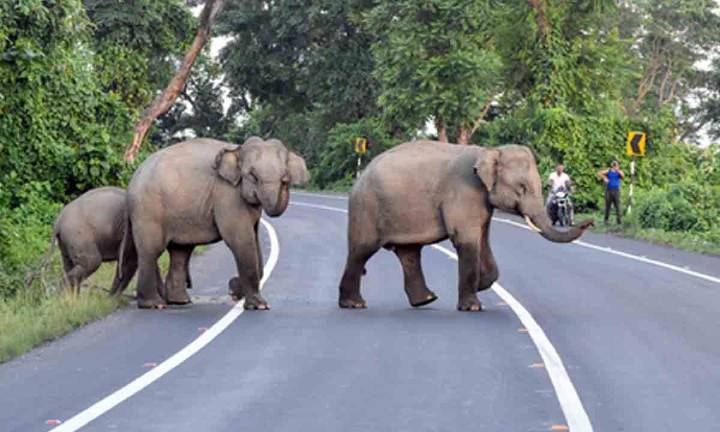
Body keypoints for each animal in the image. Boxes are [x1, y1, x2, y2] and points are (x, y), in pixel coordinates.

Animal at [123, 137, 309, 309]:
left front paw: (238, 290)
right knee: (151, 251)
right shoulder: (227, 195)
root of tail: (133, 179)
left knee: (180, 252)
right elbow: (240, 240)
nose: (286, 180)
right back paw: (154, 304)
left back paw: (180, 301)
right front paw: (258, 305)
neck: (237, 150)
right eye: (253, 176)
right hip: (148, 210)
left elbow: (254, 242)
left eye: (284, 176)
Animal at [338, 140, 593, 311]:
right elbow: (466, 239)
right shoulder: (464, 192)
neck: (489, 151)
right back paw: (354, 304)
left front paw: (480, 285)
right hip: (367, 207)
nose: (590, 222)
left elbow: (482, 239)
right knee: (362, 250)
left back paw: (426, 300)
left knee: (409, 253)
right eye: (522, 188)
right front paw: (473, 306)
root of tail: (360, 177)